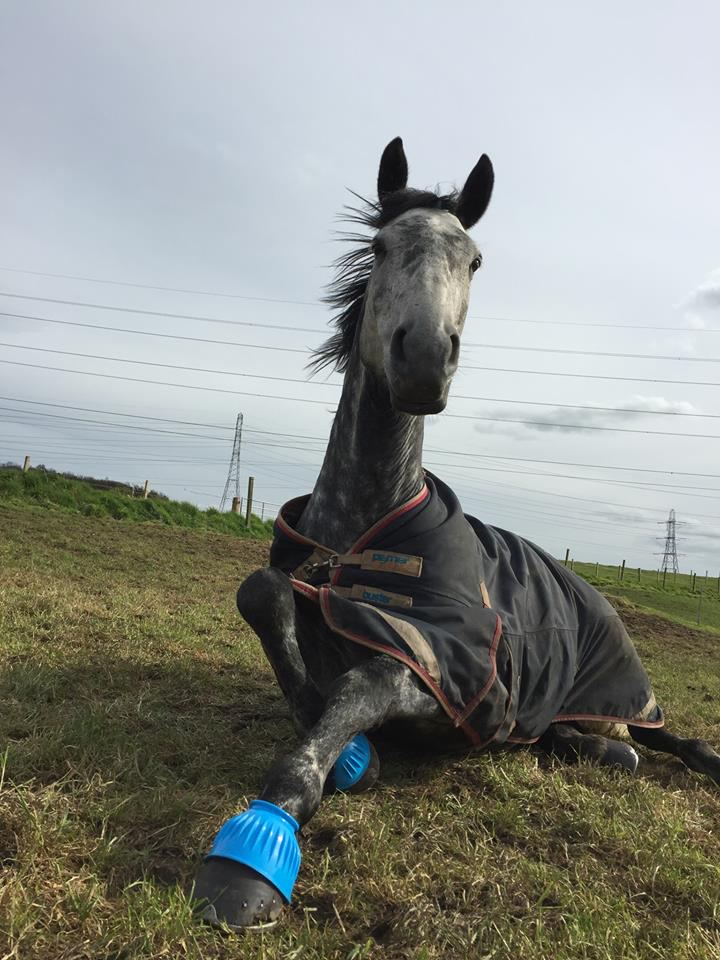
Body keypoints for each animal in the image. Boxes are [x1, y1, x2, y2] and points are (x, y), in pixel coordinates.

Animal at [193, 138, 720, 930]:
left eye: (474, 260)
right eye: (380, 247)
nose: (422, 360)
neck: (362, 538)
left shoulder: (455, 677)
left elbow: (357, 686)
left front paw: (257, 846)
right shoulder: (306, 596)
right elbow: (265, 597)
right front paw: (353, 753)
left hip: (624, 702)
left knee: (659, 745)